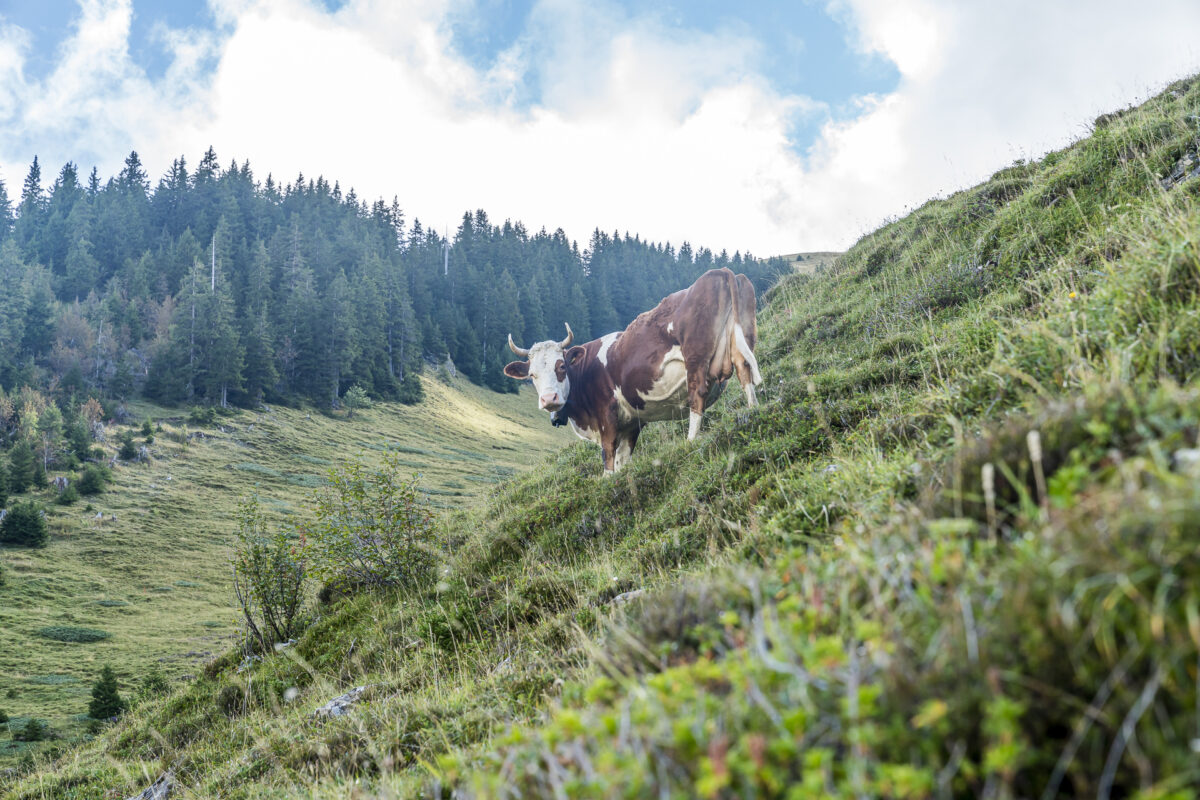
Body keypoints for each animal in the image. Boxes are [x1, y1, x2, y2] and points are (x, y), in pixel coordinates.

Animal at [501, 268, 763, 472]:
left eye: (562, 366)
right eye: (531, 375)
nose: (549, 399)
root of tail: (721, 271)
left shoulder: (606, 415)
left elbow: (608, 456)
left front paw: (607, 481)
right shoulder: (630, 424)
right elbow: (622, 461)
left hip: (695, 358)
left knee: (697, 395)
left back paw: (690, 441)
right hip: (741, 339)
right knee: (745, 372)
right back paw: (753, 411)